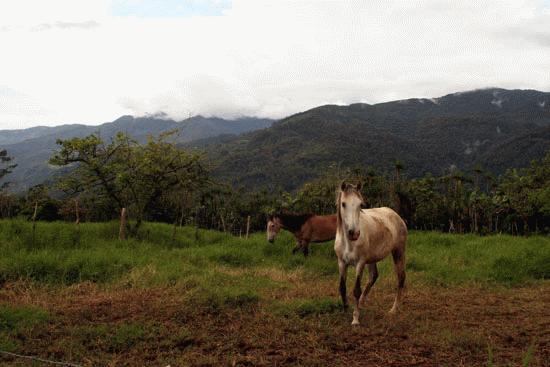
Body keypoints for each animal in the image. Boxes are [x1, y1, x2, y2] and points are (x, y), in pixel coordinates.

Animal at [336, 183, 410, 326]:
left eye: (360, 204)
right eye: (343, 204)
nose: (354, 233)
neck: (349, 243)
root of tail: (396, 215)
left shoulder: (360, 263)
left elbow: (356, 290)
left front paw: (355, 319)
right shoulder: (341, 262)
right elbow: (342, 287)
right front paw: (345, 310)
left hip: (398, 252)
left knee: (401, 278)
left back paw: (393, 309)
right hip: (371, 259)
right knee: (373, 276)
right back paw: (361, 303)